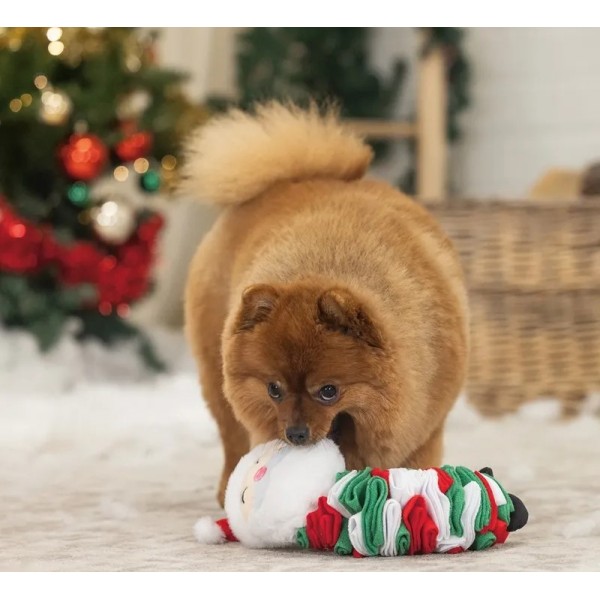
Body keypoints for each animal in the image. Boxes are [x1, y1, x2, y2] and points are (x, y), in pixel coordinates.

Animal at [183, 103, 468, 506]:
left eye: (329, 391)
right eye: (274, 389)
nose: (296, 434)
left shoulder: (424, 426)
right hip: (216, 375)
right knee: (232, 438)